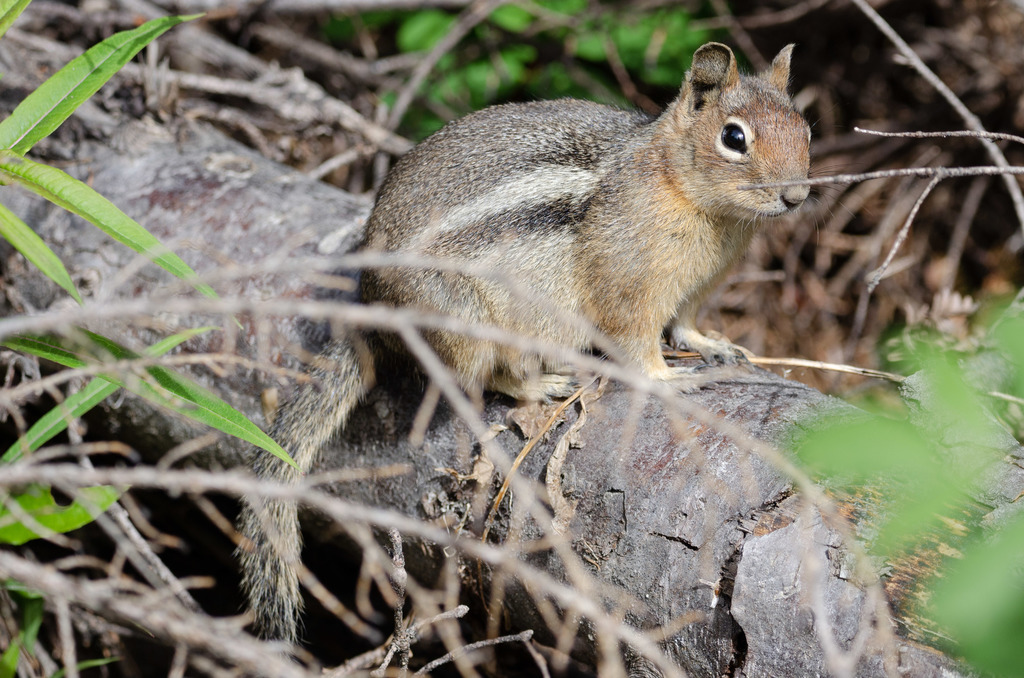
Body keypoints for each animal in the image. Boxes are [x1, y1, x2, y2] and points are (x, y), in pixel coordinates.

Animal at [236, 41, 811, 644]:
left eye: (804, 126)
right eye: (734, 137)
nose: (795, 196)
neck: (682, 188)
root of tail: (372, 308)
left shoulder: (695, 290)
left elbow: (685, 326)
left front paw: (714, 345)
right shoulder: (630, 288)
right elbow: (635, 345)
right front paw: (666, 378)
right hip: (472, 326)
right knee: (488, 377)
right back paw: (543, 383)